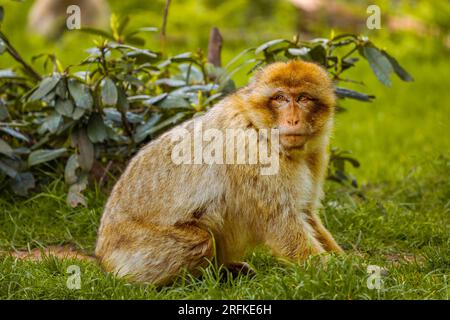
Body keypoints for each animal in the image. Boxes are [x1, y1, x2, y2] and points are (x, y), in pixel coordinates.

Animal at [94, 60, 342, 284]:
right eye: (280, 98)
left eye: (303, 98)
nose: (292, 119)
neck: (260, 127)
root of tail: (102, 256)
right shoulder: (251, 152)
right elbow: (281, 222)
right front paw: (336, 275)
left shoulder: (315, 153)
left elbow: (306, 212)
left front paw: (344, 262)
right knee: (200, 241)